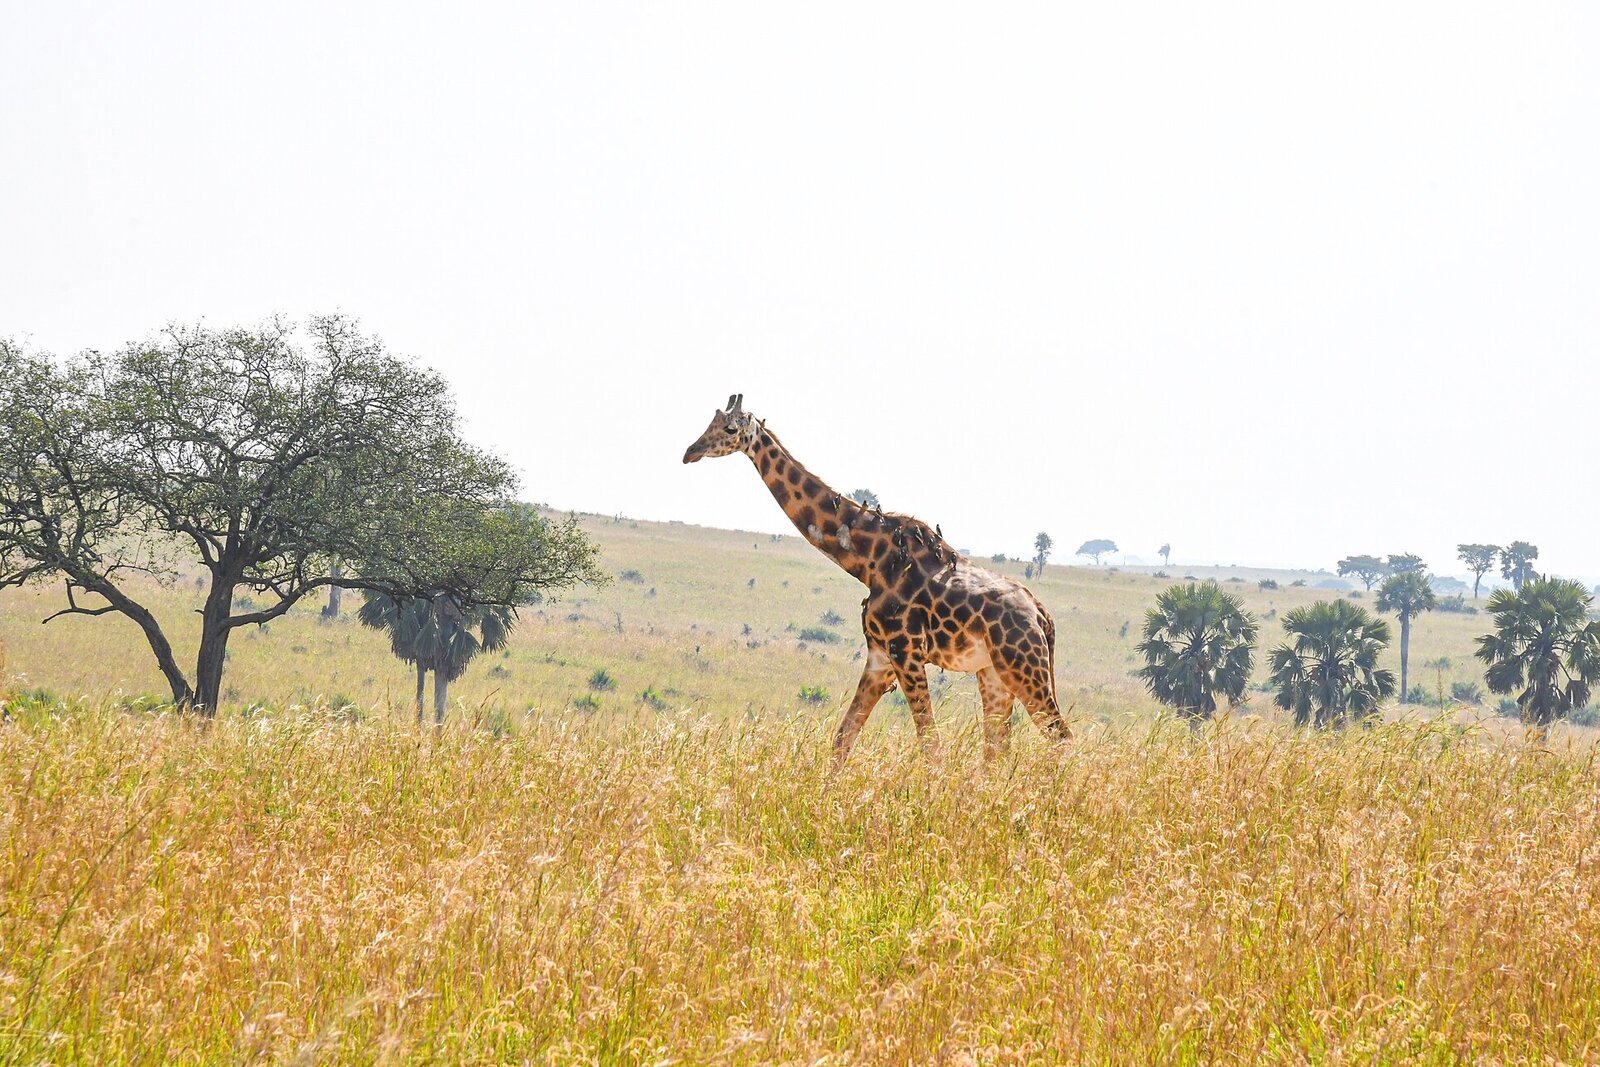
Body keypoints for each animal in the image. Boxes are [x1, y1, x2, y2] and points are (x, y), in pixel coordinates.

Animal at [683, 395, 1069, 764]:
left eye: (730, 429)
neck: (868, 561)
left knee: (1060, 737)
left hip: (1023, 665)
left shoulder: (906, 652)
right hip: (993, 671)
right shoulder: (881, 656)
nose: (691, 451)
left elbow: (930, 746)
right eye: (710, 421)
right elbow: (842, 739)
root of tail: (1042, 616)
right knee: (997, 750)